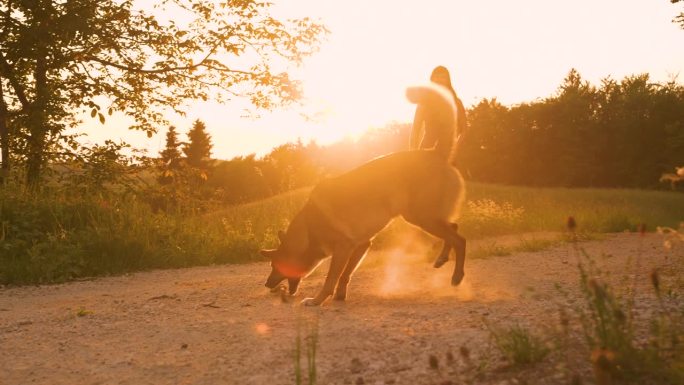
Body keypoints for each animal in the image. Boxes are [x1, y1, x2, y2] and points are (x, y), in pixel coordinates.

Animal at [260, 84, 464, 306]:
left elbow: (330, 279)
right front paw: (340, 295)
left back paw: (457, 276)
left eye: (274, 266)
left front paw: (317, 300)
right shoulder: (361, 246)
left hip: (421, 217)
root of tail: (435, 152)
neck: (310, 228)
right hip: (428, 217)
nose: (267, 284)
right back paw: (442, 258)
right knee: (453, 229)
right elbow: (345, 275)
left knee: (459, 239)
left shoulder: (342, 250)